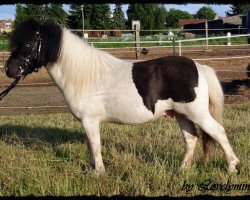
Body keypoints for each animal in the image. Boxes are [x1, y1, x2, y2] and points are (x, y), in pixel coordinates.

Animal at [3, 19, 238, 173]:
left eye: (27, 43)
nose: (9, 69)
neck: (85, 76)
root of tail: (199, 66)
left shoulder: (90, 120)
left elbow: (95, 145)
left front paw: (99, 173)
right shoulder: (88, 122)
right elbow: (90, 146)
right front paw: (91, 170)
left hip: (197, 113)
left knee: (218, 132)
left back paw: (232, 167)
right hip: (181, 115)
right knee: (191, 140)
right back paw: (181, 170)